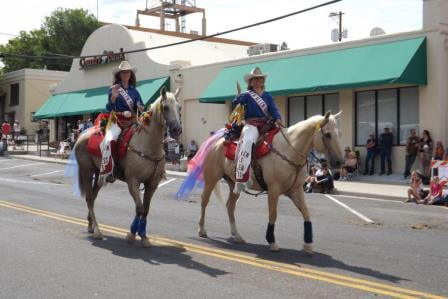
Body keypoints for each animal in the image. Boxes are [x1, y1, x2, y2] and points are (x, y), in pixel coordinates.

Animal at [74, 87, 181, 248]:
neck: (148, 145)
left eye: (179, 107)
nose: (177, 130)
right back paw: (98, 231)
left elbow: (146, 209)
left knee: (93, 197)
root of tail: (82, 135)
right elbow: (139, 208)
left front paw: (143, 237)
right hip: (87, 172)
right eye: (165, 107)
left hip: (100, 174)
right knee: (89, 198)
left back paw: (91, 225)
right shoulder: (133, 182)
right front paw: (131, 234)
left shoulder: (152, 184)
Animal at [199, 112, 344, 255]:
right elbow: (273, 215)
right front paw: (272, 241)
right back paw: (202, 230)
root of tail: (214, 142)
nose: (340, 162)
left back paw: (237, 236)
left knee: (230, 206)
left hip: (234, 184)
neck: (289, 150)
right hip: (211, 179)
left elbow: (306, 213)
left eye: (340, 134)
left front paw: (308, 245)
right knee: (204, 201)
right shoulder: (274, 189)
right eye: (328, 134)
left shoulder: (296, 190)